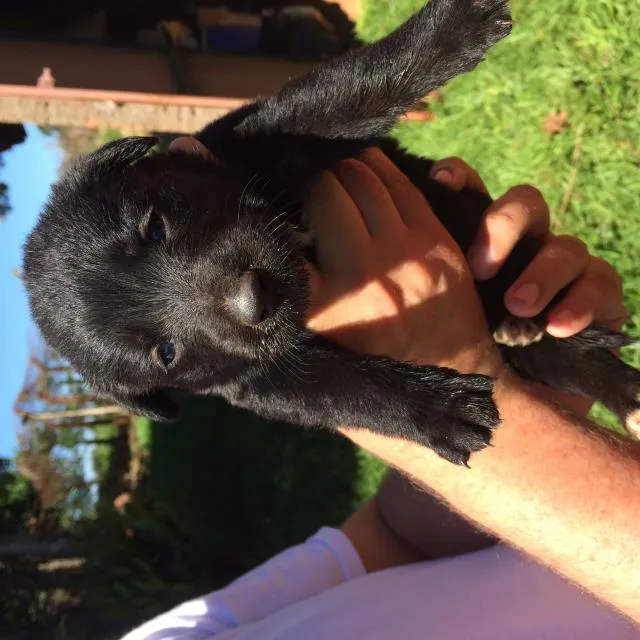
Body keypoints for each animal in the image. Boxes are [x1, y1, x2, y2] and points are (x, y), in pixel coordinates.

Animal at [22, 0, 636, 462]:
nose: (254, 299)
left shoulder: (264, 134)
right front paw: (443, 410)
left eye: (155, 226)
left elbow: (349, 90)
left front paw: (453, 27)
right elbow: (343, 390)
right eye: (166, 353)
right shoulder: (258, 381)